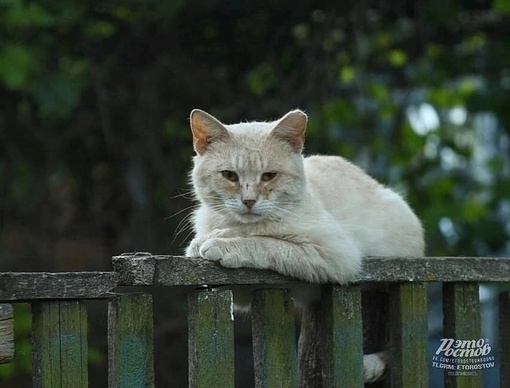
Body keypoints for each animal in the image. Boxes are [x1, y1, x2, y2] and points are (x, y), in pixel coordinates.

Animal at [185, 107, 424, 384]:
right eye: (229, 176)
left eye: (269, 176)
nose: (249, 201)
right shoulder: (243, 297)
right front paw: (204, 241)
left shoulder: (334, 255)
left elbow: (264, 242)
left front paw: (221, 242)